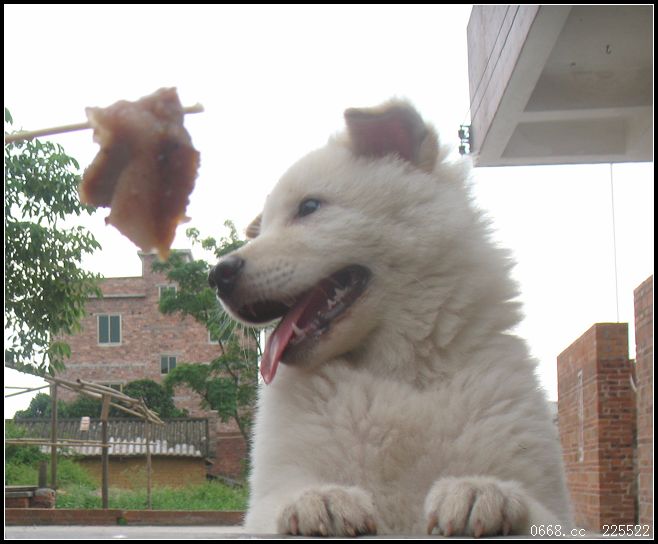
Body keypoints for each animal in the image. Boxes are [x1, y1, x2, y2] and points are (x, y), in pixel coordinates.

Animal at [208, 100, 572, 536]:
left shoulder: (552, 501)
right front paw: (319, 498)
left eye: (309, 207)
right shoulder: (266, 497)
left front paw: (481, 490)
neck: (392, 370)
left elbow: (532, 505)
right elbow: (281, 502)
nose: (217, 275)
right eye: (263, 228)